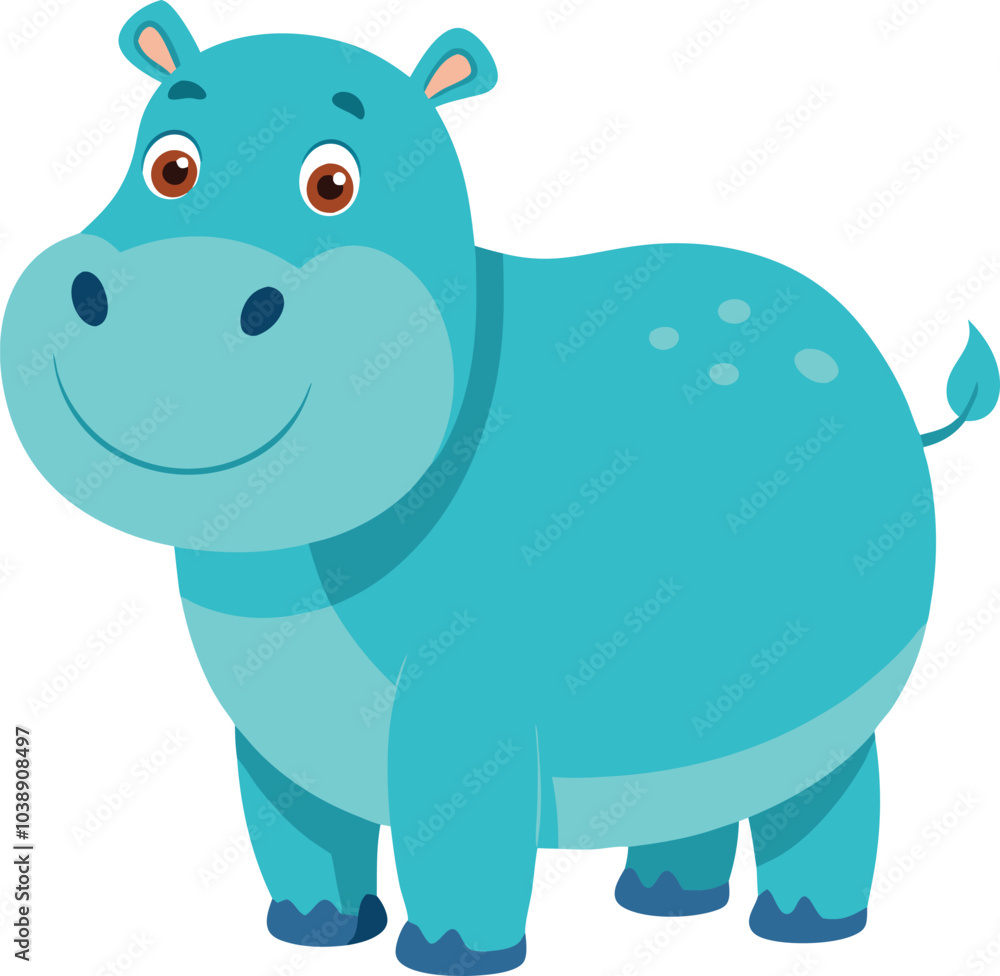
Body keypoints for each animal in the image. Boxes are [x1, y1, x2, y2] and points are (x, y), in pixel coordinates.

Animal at [3, 3, 998, 972]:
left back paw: (803, 929)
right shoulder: (276, 727)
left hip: (835, 696)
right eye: (169, 165)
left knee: (830, 792)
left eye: (334, 183)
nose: (162, 305)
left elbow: (457, 836)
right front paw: (316, 934)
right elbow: (299, 833)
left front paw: (447, 955)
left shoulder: (469, 697)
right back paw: (665, 902)